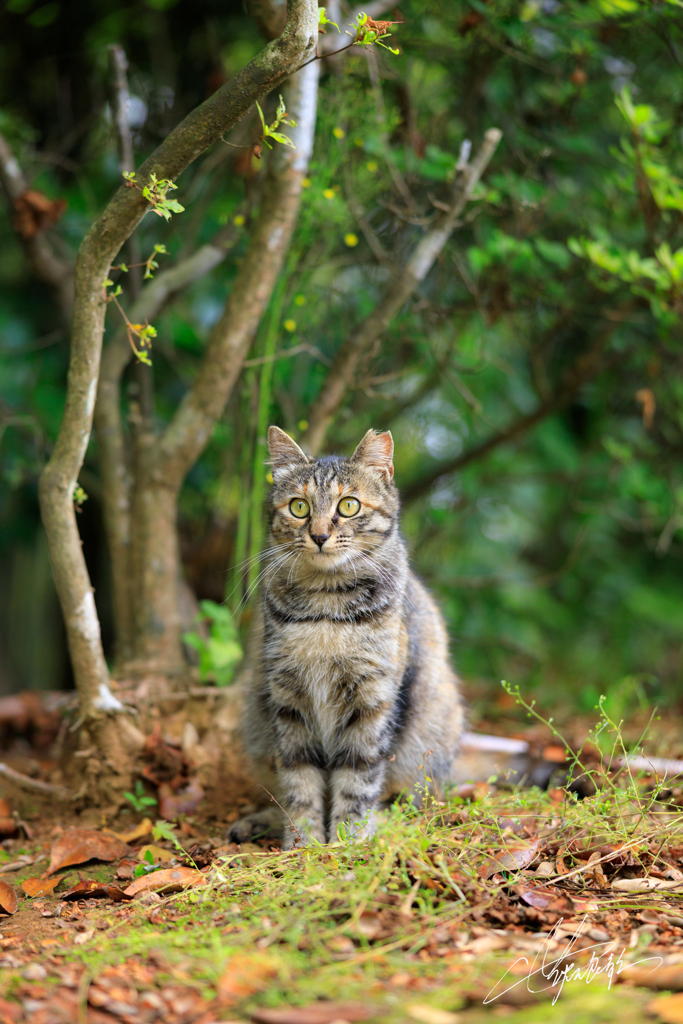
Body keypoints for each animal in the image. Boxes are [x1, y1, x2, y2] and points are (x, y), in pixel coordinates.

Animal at [229, 423, 464, 847]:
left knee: (408, 803)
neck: (327, 602)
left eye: (349, 506)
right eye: (299, 507)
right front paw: (302, 844)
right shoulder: (288, 701)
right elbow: (298, 781)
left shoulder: (372, 701)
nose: (320, 535)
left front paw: (347, 841)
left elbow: (358, 779)